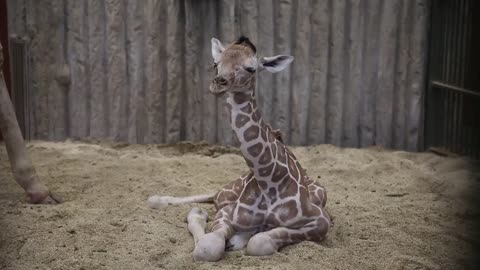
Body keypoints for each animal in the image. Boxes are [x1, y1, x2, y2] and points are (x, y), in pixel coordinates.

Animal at [149, 36, 330, 262]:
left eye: (251, 68)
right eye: (215, 64)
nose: (218, 83)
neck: (268, 180)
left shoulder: (320, 220)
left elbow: (259, 242)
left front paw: (242, 238)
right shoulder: (227, 213)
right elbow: (208, 246)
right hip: (227, 193)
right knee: (210, 196)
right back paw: (160, 200)